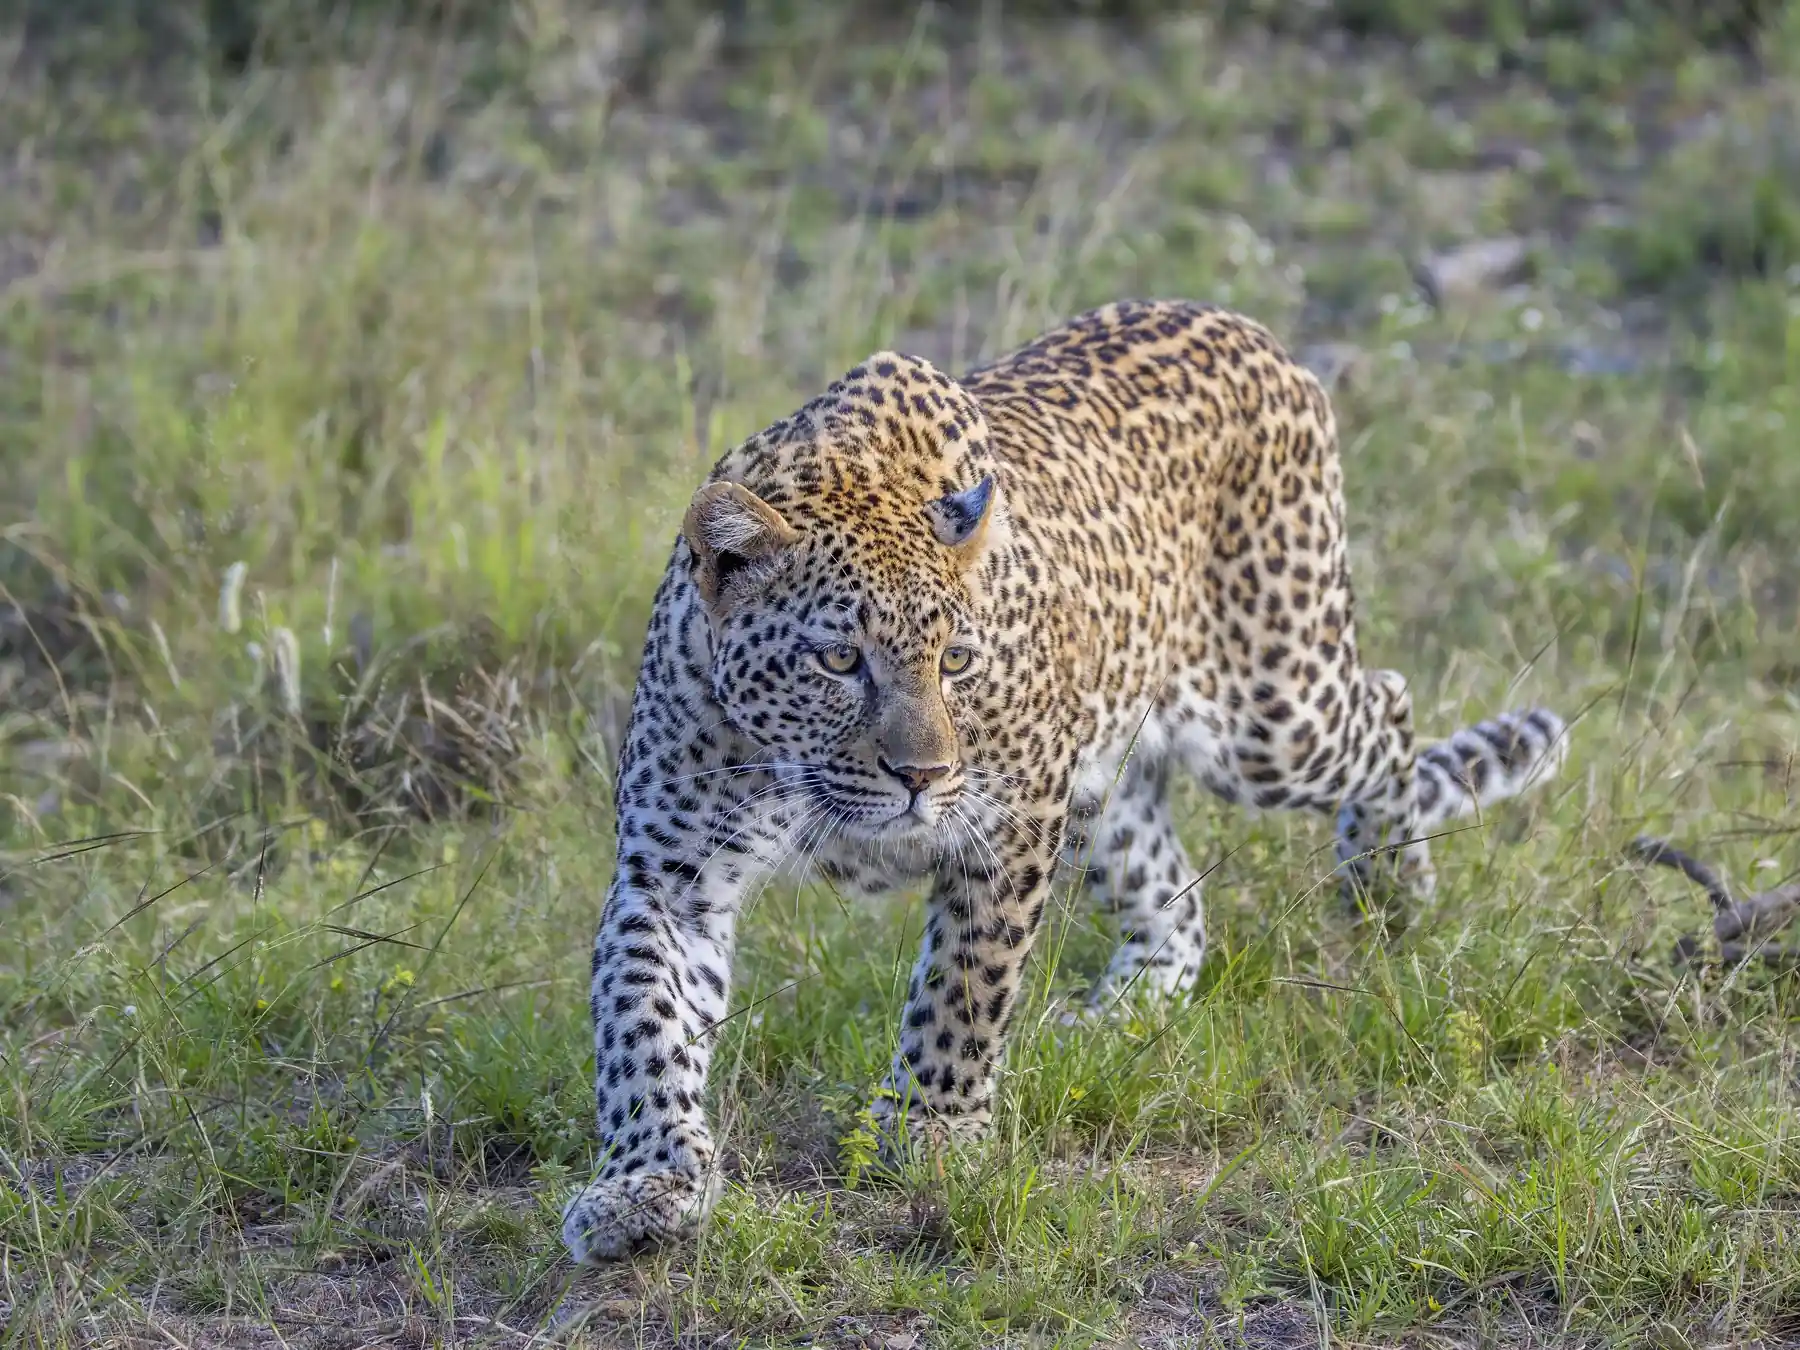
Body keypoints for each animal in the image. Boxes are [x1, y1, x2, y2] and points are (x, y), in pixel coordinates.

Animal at [561, 299, 1567, 1263]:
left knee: (1388, 702)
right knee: (1177, 904)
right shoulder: (671, 873)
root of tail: (1254, 333)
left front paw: (930, 1131)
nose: (923, 775)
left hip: (1273, 715)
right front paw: (646, 1183)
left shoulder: (1007, 822)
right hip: (1106, 785)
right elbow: (642, 1022)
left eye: (957, 661)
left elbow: (964, 988)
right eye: (839, 659)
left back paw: (1388, 885)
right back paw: (1118, 1016)